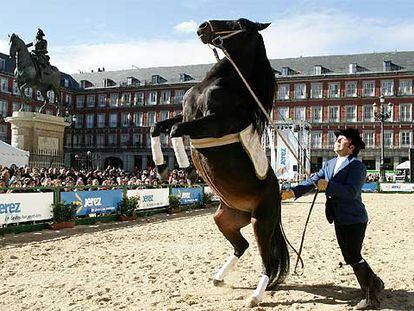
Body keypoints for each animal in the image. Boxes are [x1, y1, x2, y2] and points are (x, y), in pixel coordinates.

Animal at [150, 17, 290, 308]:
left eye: (239, 23)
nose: (203, 26)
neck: (221, 82)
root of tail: (279, 193)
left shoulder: (214, 123)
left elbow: (176, 130)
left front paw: (184, 168)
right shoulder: (186, 113)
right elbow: (157, 126)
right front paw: (161, 168)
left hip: (261, 222)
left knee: (267, 262)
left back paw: (255, 297)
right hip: (225, 219)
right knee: (242, 246)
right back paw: (219, 278)